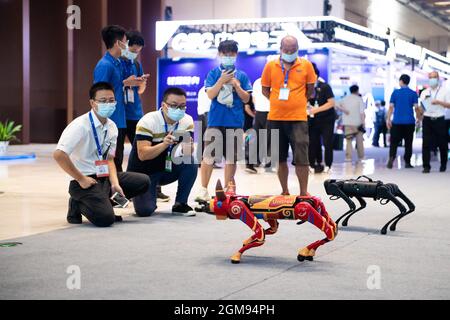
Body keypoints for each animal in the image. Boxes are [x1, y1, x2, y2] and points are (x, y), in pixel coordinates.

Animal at [194, 180, 338, 264]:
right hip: (320, 210)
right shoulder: (269, 217)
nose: (204, 205)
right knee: (334, 229)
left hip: (305, 210)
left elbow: (260, 236)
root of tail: (313, 201)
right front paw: (248, 240)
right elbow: (270, 230)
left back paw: (306, 250)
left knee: (329, 231)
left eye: (217, 203)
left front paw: (237, 255)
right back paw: (308, 251)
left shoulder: (241, 210)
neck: (235, 201)